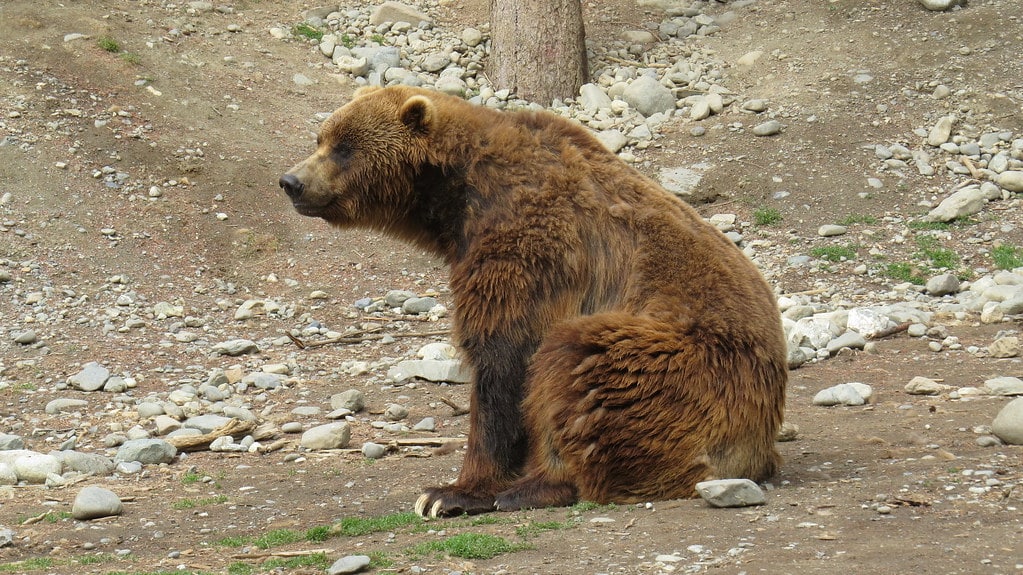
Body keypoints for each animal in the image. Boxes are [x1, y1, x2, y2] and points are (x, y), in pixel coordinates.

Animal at [279, 85, 787, 517]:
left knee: (578, 362)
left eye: (344, 147)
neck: (456, 198)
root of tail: (759, 442)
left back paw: (540, 485)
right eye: (321, 137)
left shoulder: (526, 246)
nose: (291, 181)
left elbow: (503, 358)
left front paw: (450, 493)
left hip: (689, 367)